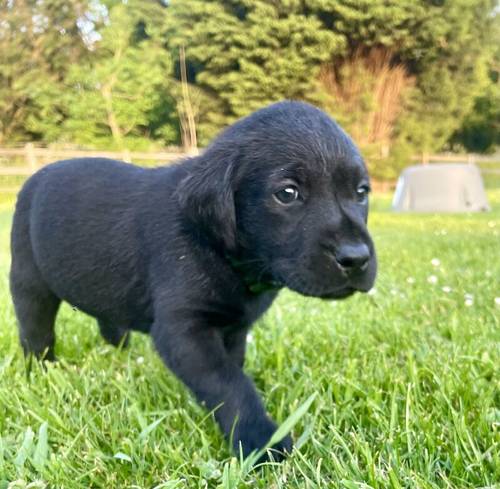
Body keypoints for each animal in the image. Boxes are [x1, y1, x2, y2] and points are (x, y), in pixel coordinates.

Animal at [9, 101, 376, 460]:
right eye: (287, 193)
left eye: (361, 192)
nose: (356, 258)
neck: (224, 252)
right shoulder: (183, 330)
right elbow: (229, 383)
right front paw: (262, 442)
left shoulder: (234, 328)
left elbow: (234, 369)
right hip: (28, 281)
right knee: (36, 332)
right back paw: (41, 370)